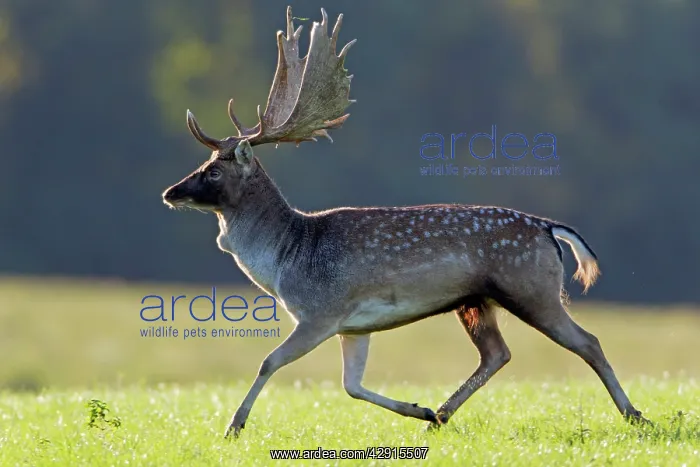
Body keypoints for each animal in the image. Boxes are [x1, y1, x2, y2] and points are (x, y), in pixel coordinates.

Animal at [162, 6, 648, 439]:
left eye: (215, 171)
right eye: (205, 163)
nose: (171, 192)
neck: (286, 258)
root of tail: (549, 228)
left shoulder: (321, 311)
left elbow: (270, 361)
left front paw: (234, 425)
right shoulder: (353, 326)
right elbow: (351, 386)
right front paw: (418, 408)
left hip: (530, 287)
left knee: (587, 341)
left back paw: (635, 415)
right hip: (476, 301)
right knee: (497, 353)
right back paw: (440, 415)